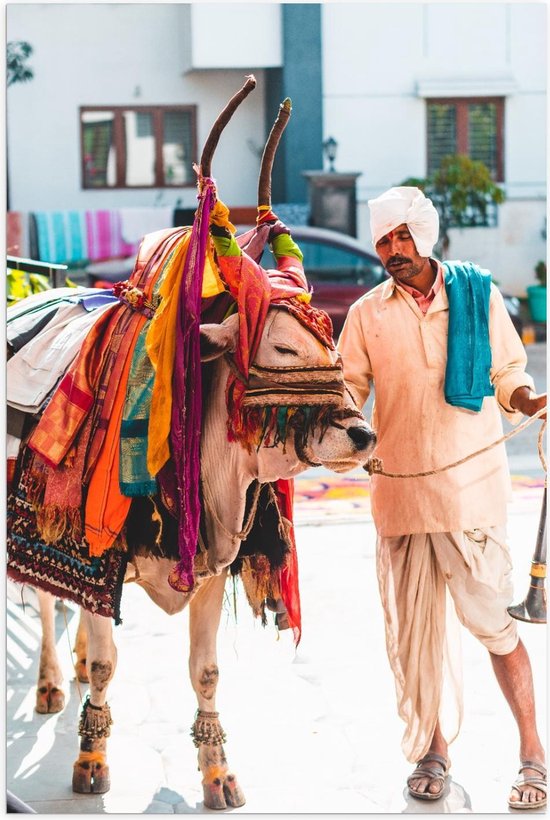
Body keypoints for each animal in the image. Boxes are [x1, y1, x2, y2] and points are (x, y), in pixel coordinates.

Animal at [6, 78, 376, 808]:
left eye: (329, 338)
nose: (364, 432)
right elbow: (106, 660)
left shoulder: (210, 569)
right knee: (46, 600)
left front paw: (217, 773)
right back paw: (52, 682)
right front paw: (91, 758)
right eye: (281, 346)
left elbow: (204, 672)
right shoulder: (97, 559)